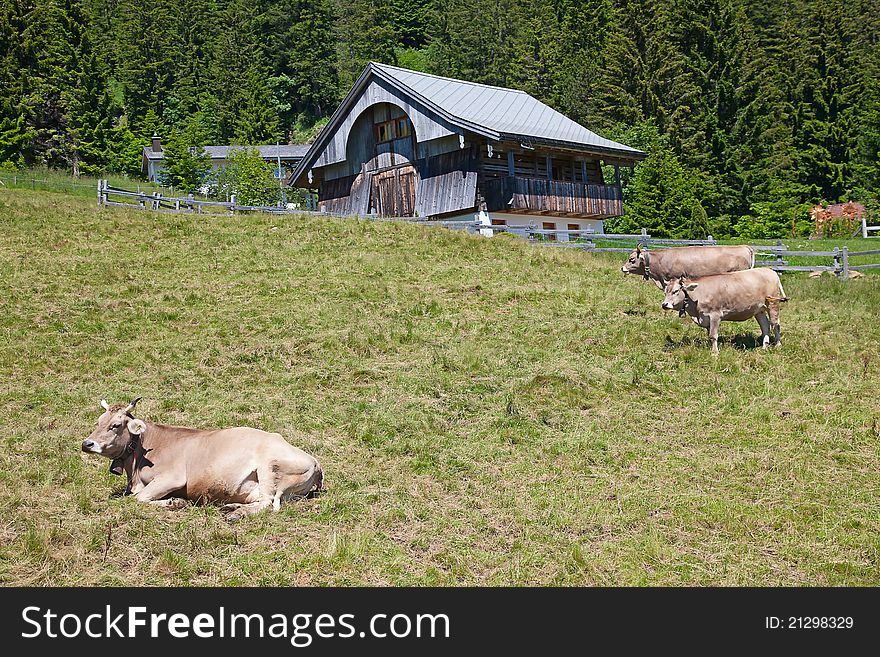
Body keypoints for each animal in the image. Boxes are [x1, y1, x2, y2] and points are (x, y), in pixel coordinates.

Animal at [81, 394, 324, 524]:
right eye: (98, 422)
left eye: (115, 425)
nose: (87, 444)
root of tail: (314, 461)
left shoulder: (173, 478)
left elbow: (139, 499)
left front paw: (175, 502)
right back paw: (231, 506)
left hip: (269, 468)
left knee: (268, 503)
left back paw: (237, 514)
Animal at [660, 266, 792, 354]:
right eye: (665, 291)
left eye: (676, 291)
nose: (664, 304)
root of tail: (770, 271)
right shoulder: (705, 318)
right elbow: (709, 334)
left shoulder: (715, 315)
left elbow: (713, 335)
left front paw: (715, 353)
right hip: (758, 309)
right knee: (765, 325)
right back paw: (764, 346)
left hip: (773, 303)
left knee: (775, 324)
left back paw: (778, 345)